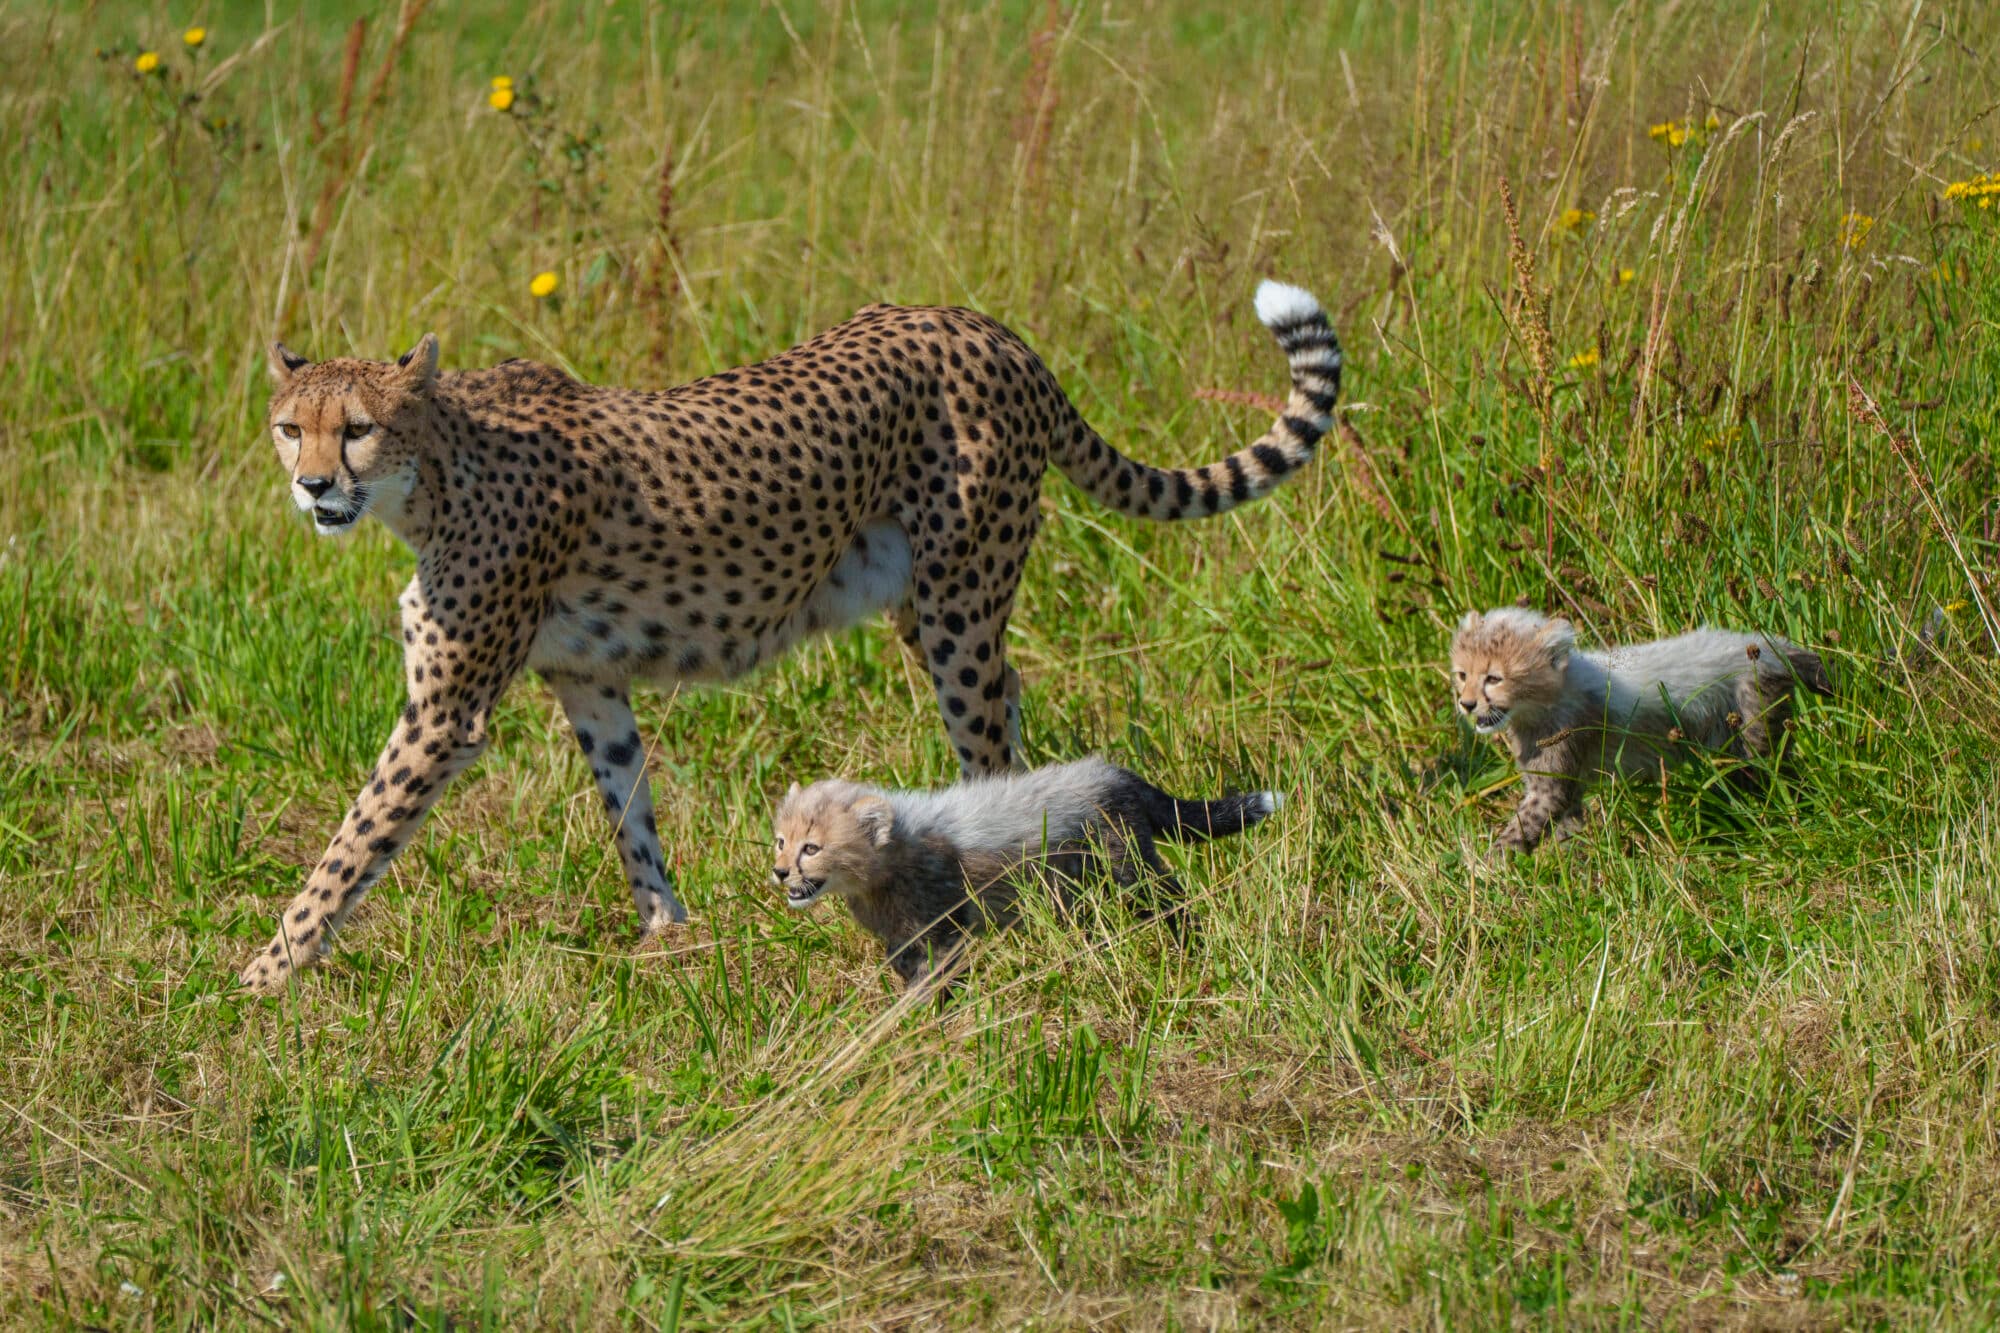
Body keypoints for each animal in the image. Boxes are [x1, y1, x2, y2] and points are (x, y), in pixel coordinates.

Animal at [240, 280, 1341, 992]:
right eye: (292, 426)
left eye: (359, 427)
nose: (312, 486)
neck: (435, 473)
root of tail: (978, 324)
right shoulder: (585, 676)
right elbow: (628, 808)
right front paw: (668, 939)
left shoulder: (445, 714)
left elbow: (347, 849)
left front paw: (257, 982)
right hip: (935, 606)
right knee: (1014, 703)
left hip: (958, 604)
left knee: (989, 741)